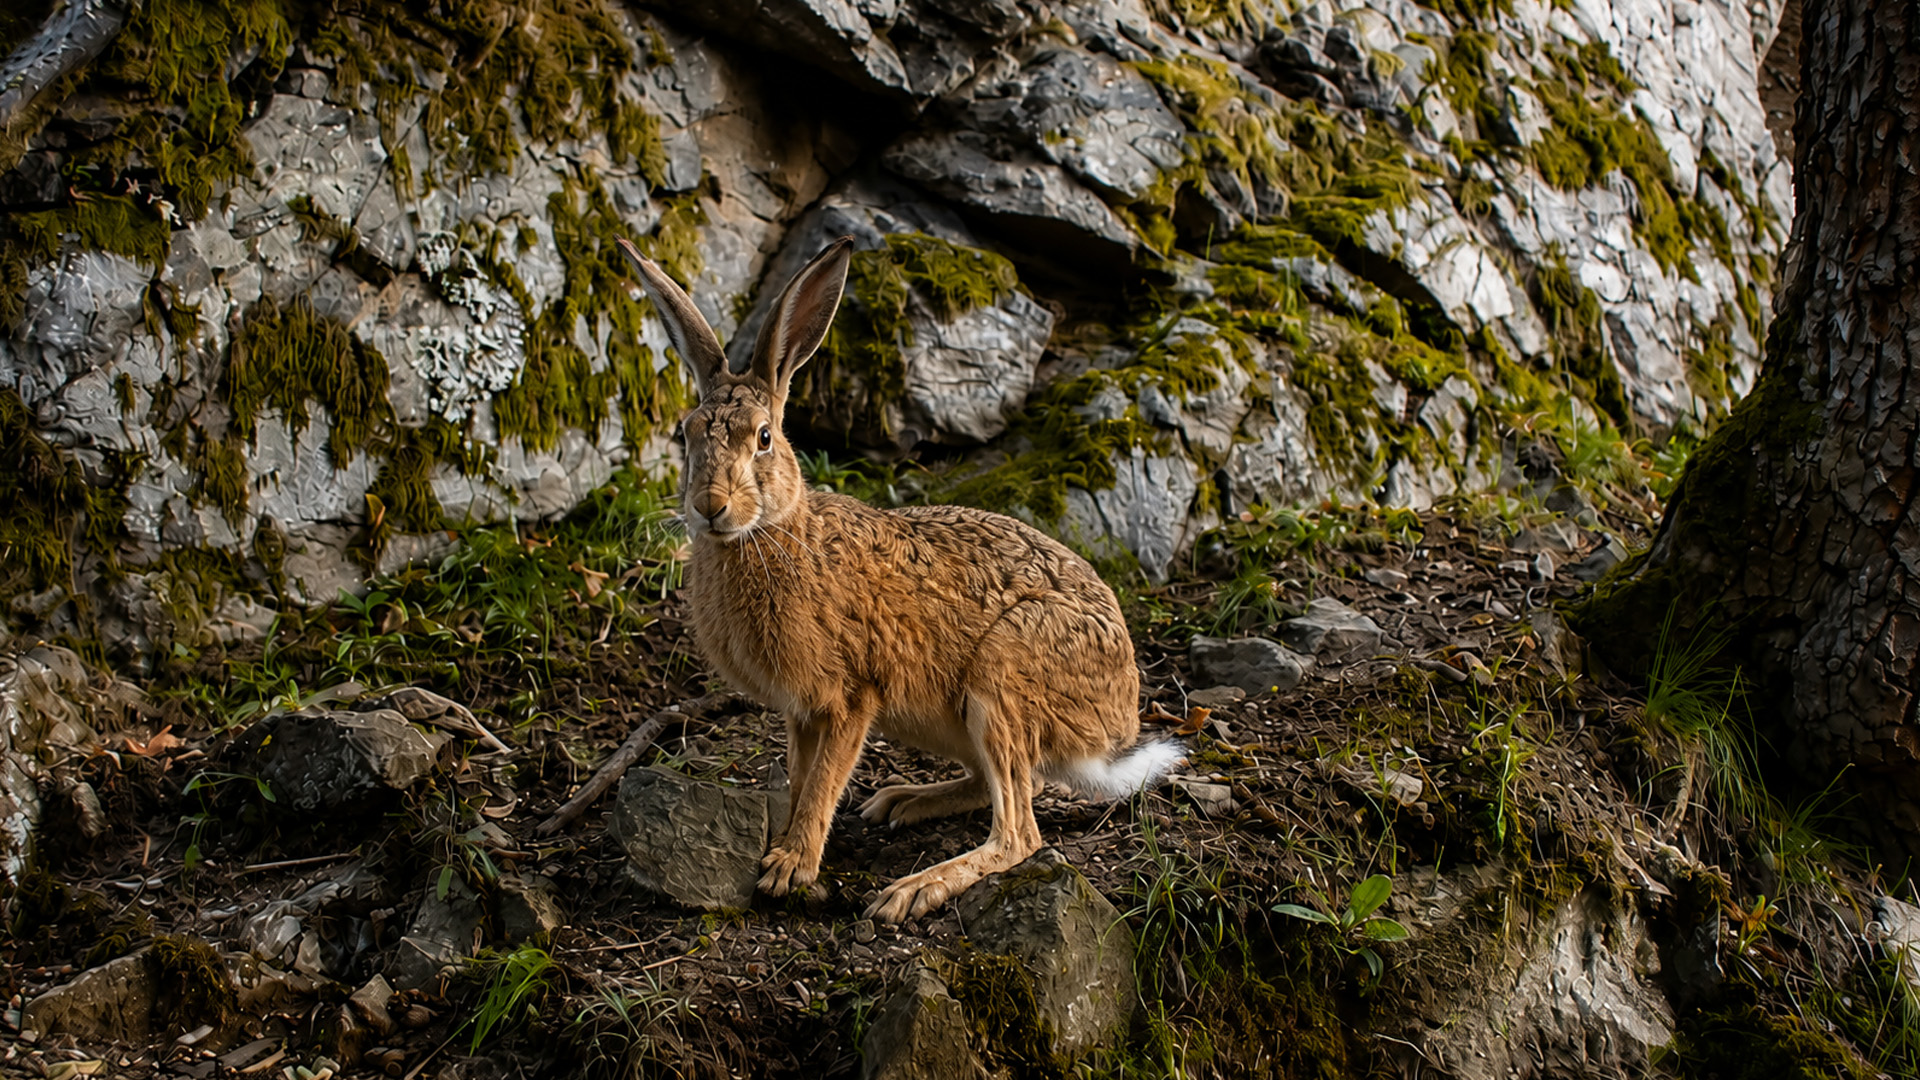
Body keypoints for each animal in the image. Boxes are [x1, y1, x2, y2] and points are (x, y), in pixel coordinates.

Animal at [615, 234, 1183, 923]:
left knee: (1020, 831)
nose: (709, 506)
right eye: (688, 432)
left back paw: (915, 889)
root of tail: (1115, 723)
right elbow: (800, 776)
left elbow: (823, 781)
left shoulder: (849, 697)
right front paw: (788, 842)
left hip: (1002, 675)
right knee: (1004, 788)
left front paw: (789, 867)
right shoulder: (801, 711)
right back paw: (902, 801)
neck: (772, 533)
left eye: (764, 438)